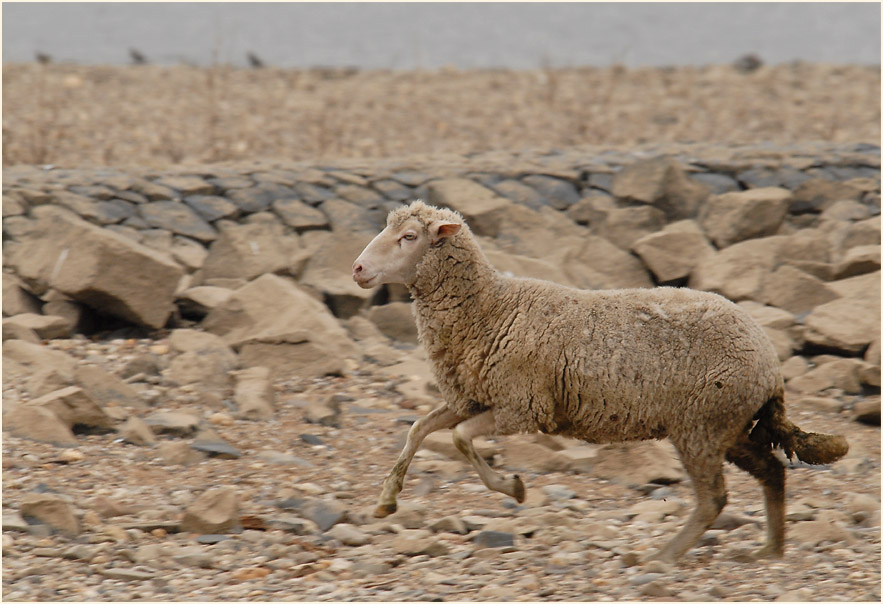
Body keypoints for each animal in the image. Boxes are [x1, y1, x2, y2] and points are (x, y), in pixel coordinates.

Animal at [350, 201, 848, 564]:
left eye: (409, 237)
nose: (356, 269)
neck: (490, 309)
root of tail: (770, 361)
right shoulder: (471, 399)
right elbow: (417, 431)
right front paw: (386, 502)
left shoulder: (522, 406)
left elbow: (458, 440)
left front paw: (513, 488)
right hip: (729, 425)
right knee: (772, 472)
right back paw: (770, 550)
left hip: (703, 425)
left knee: (714, 499)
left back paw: (662, 557)